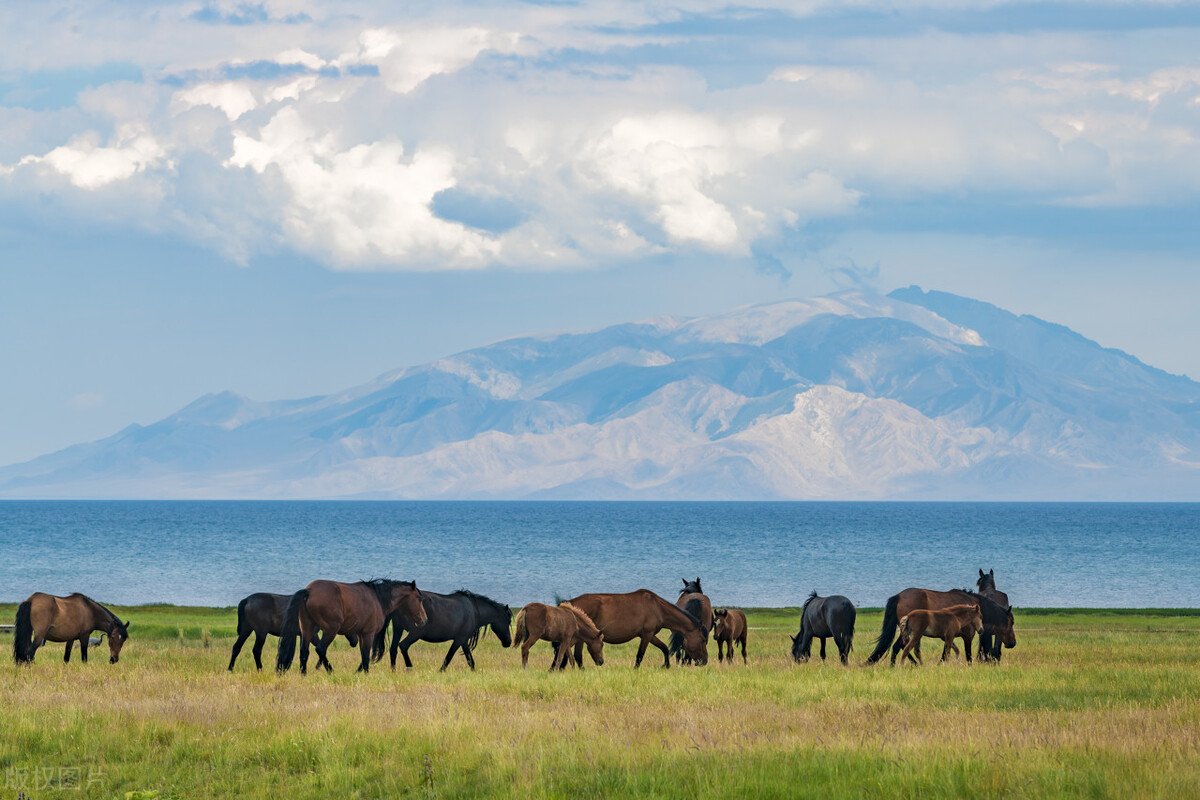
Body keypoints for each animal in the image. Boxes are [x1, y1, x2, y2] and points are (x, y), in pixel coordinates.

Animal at [225, 592, 360, 671]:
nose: (355, 642)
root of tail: (247, 600)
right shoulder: (312, 635)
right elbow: (320, 650)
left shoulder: (303, 635)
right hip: (261, 632)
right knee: (256, 650)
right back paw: (260, 669)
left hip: (246, 630)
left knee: (236, 647)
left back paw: (230, 669)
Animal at [274, 578, 427, 671]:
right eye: (419, 598)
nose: (424, 620)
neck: (377, 598)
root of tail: (309, 591)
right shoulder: (368, 634)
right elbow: (365, 657)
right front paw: (364, 673)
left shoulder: (361, 634)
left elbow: (363, 655)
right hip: (330, 630)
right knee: (320, 649)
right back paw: (331, 671)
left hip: (307, 629)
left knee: (304, 652)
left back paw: (303, 674)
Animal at [564, 587, 705, 671]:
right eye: (703, 640)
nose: (705, 661)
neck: (657, 607)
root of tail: (571, 603)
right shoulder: (647, 635)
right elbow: (640, 654)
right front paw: (635, 670)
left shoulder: (649, 634)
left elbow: (664, 648)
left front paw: (666, 665)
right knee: (577, 655)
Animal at [864, 585, 1012, 666]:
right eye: (1011, 623)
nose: (1012, 643)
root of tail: (899, 596)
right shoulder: (967, 636)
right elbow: (967, 655)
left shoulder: (947, 636)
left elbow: (948, 651)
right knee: (899, 646)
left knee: (900, 646)